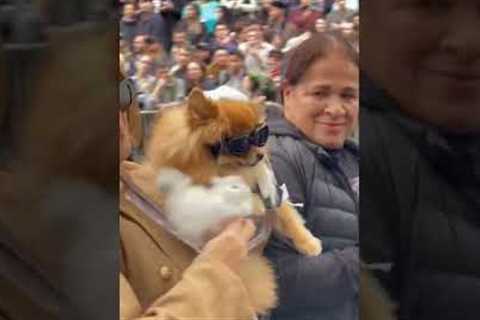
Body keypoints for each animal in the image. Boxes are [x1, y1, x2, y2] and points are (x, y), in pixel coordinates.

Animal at [144, 87, 320, 316]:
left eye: (260, 135)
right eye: (240, 144)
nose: (261, 155)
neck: (226, 170)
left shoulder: (272, 194)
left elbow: (288, 217)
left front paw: (308, 242)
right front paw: (251, 202)